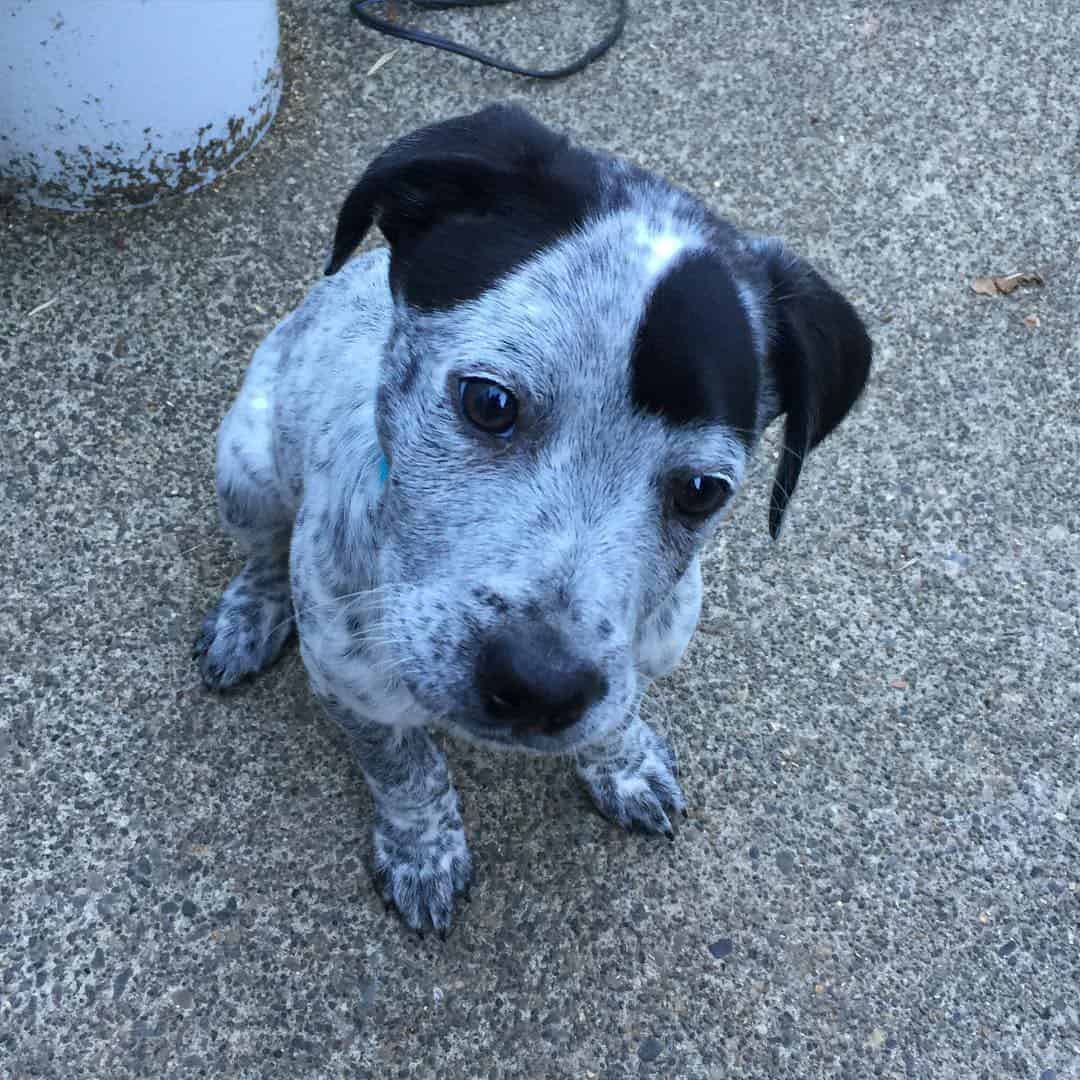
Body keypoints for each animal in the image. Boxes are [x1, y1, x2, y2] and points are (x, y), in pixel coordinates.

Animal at [192, 105, 868, 933]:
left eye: (702, 491)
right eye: (490, 402)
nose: (540, 685)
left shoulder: (637, 653)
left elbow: (616, 712)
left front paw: (625, 765)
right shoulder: (351, 683)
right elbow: (405, 771)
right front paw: (424, 851)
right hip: (247, 465)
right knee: (262, 548)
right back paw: (249, 617)